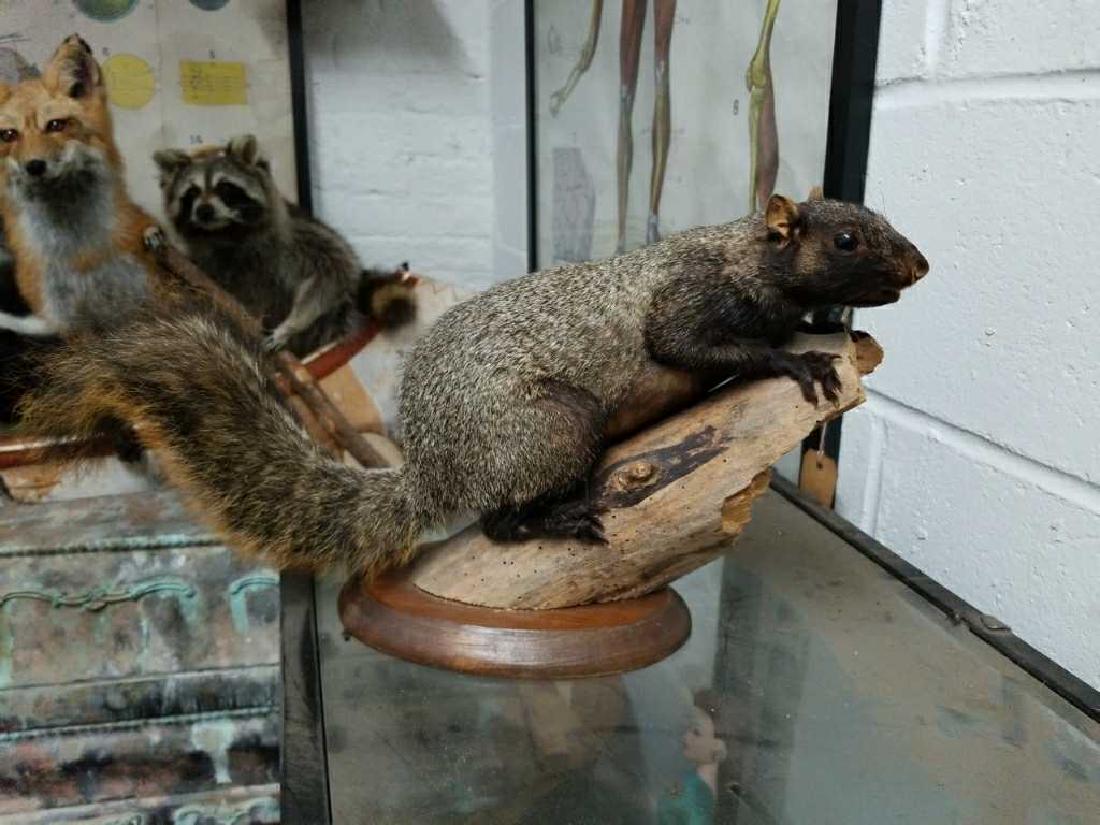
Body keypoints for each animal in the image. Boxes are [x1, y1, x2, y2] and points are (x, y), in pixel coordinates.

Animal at [16, 193, 928, 575]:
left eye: (880, 220)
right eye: (847, 239)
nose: (918, 265)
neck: (742, 251)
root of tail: (434, 474)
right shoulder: (685, 302)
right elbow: (699, 342)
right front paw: (794, 356)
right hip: (557, 425)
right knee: (497, 524)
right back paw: (560, 516)